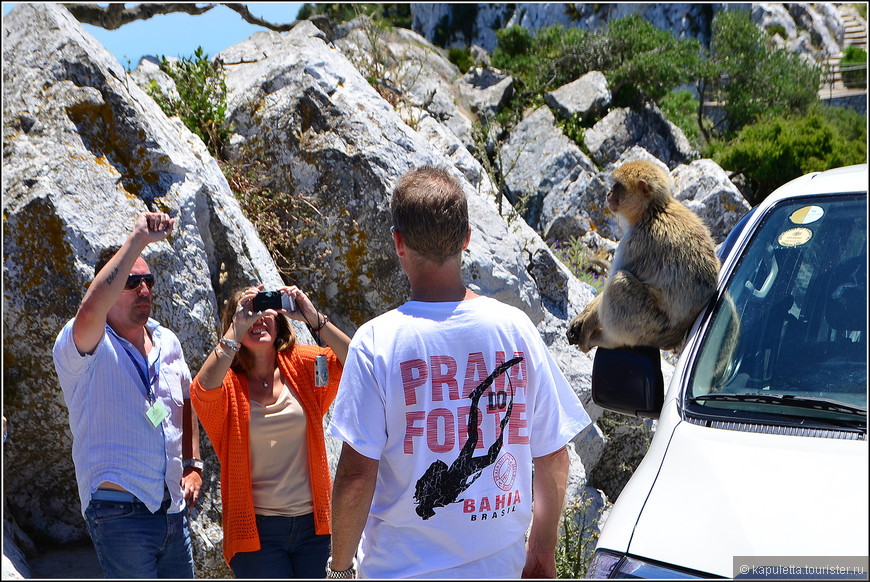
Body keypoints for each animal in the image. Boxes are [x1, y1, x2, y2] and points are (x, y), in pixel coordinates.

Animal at [564, 160, 724, 354]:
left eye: (617, 186)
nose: (609, 193)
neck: (653, 211)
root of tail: (673, 339)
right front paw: (584, 315)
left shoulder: (635, 242)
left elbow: (616, 274)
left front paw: (586, 323)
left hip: (647, 326)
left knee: (618, 283)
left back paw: (605, 340)